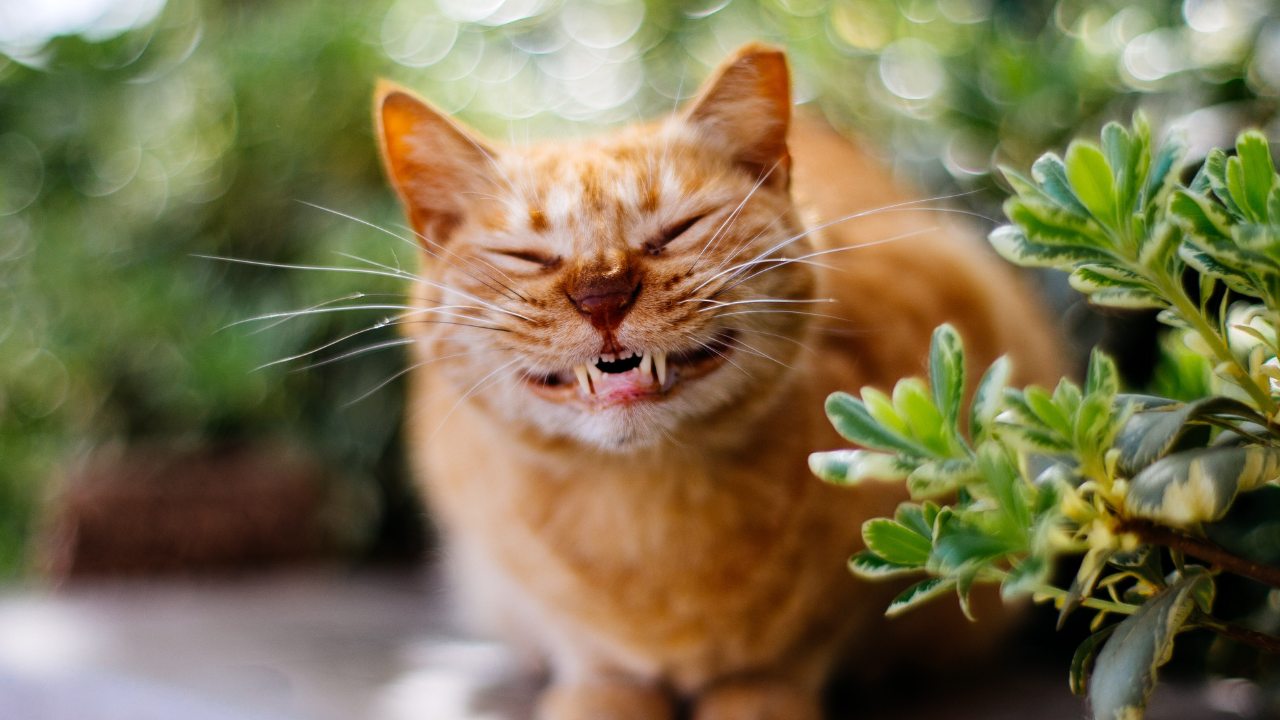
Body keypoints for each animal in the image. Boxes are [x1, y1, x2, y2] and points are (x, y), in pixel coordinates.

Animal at [373, 44, 1064, 717]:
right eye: (527, 257)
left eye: (677, 231)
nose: (602, 296)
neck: (651, 506)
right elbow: (590, 655)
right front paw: (601, 693)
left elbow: (793, 650)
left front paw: (762, 695)